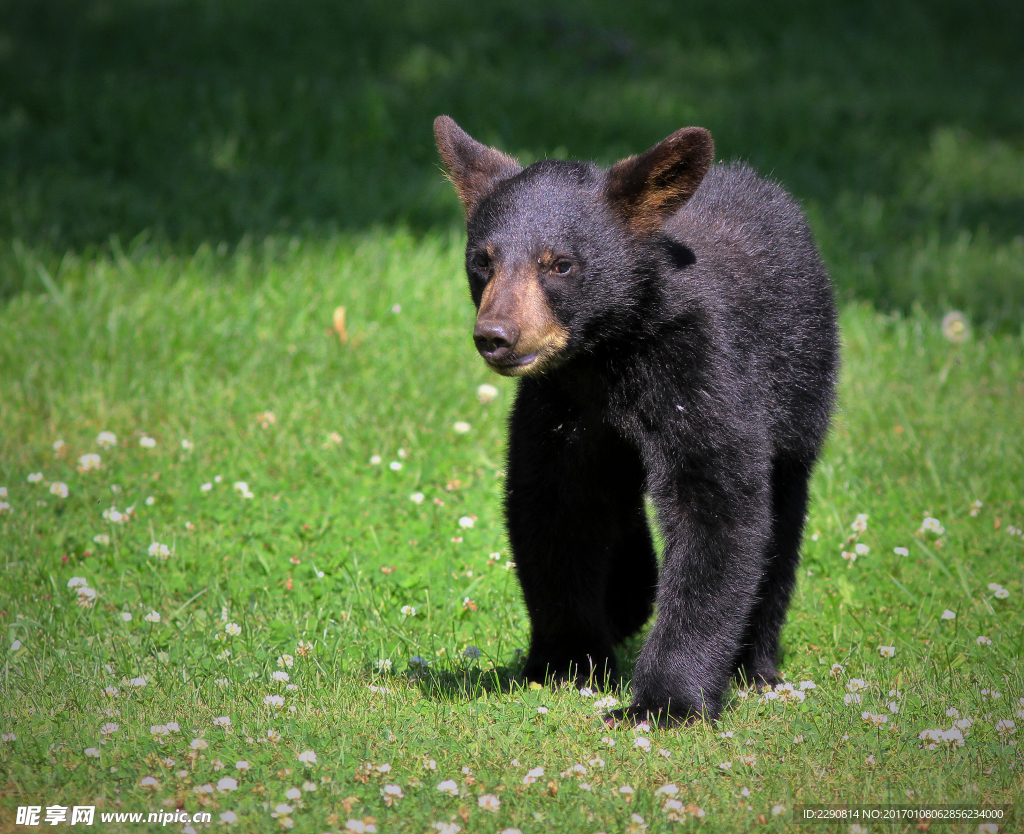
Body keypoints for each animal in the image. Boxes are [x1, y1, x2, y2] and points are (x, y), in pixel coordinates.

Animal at [434, 115, 838, 725]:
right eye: (483, 260)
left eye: (561, 263)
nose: (496, 336)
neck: (606, 357)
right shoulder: (558, 406)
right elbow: (552, 507)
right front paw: (568, 661)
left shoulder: (700, 370)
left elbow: (716, 507)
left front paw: (666, 700)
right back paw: (629, 593)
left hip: (800, 395)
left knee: (781, 520)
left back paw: (754, 663)